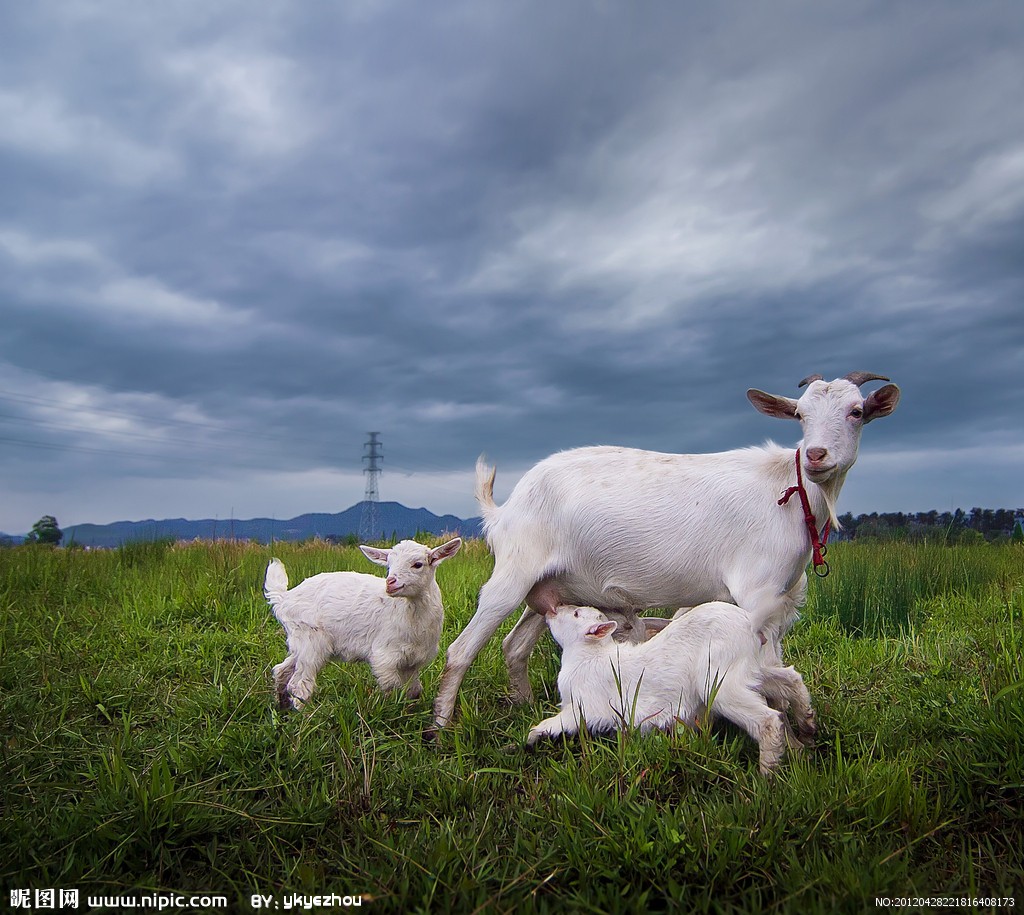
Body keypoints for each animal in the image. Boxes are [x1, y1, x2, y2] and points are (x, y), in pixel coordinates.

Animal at [430, 370, 897, 728]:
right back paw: (440, 727)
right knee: (461, 650)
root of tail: (505, 509)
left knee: (514, 646)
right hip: (513, 572)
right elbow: (765, 664)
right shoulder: (758, 593)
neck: (789, 490)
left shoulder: (781, 599)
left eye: (857, 412)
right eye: (800, 414)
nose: (816, 455)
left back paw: (524, 705)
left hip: (549, 588)